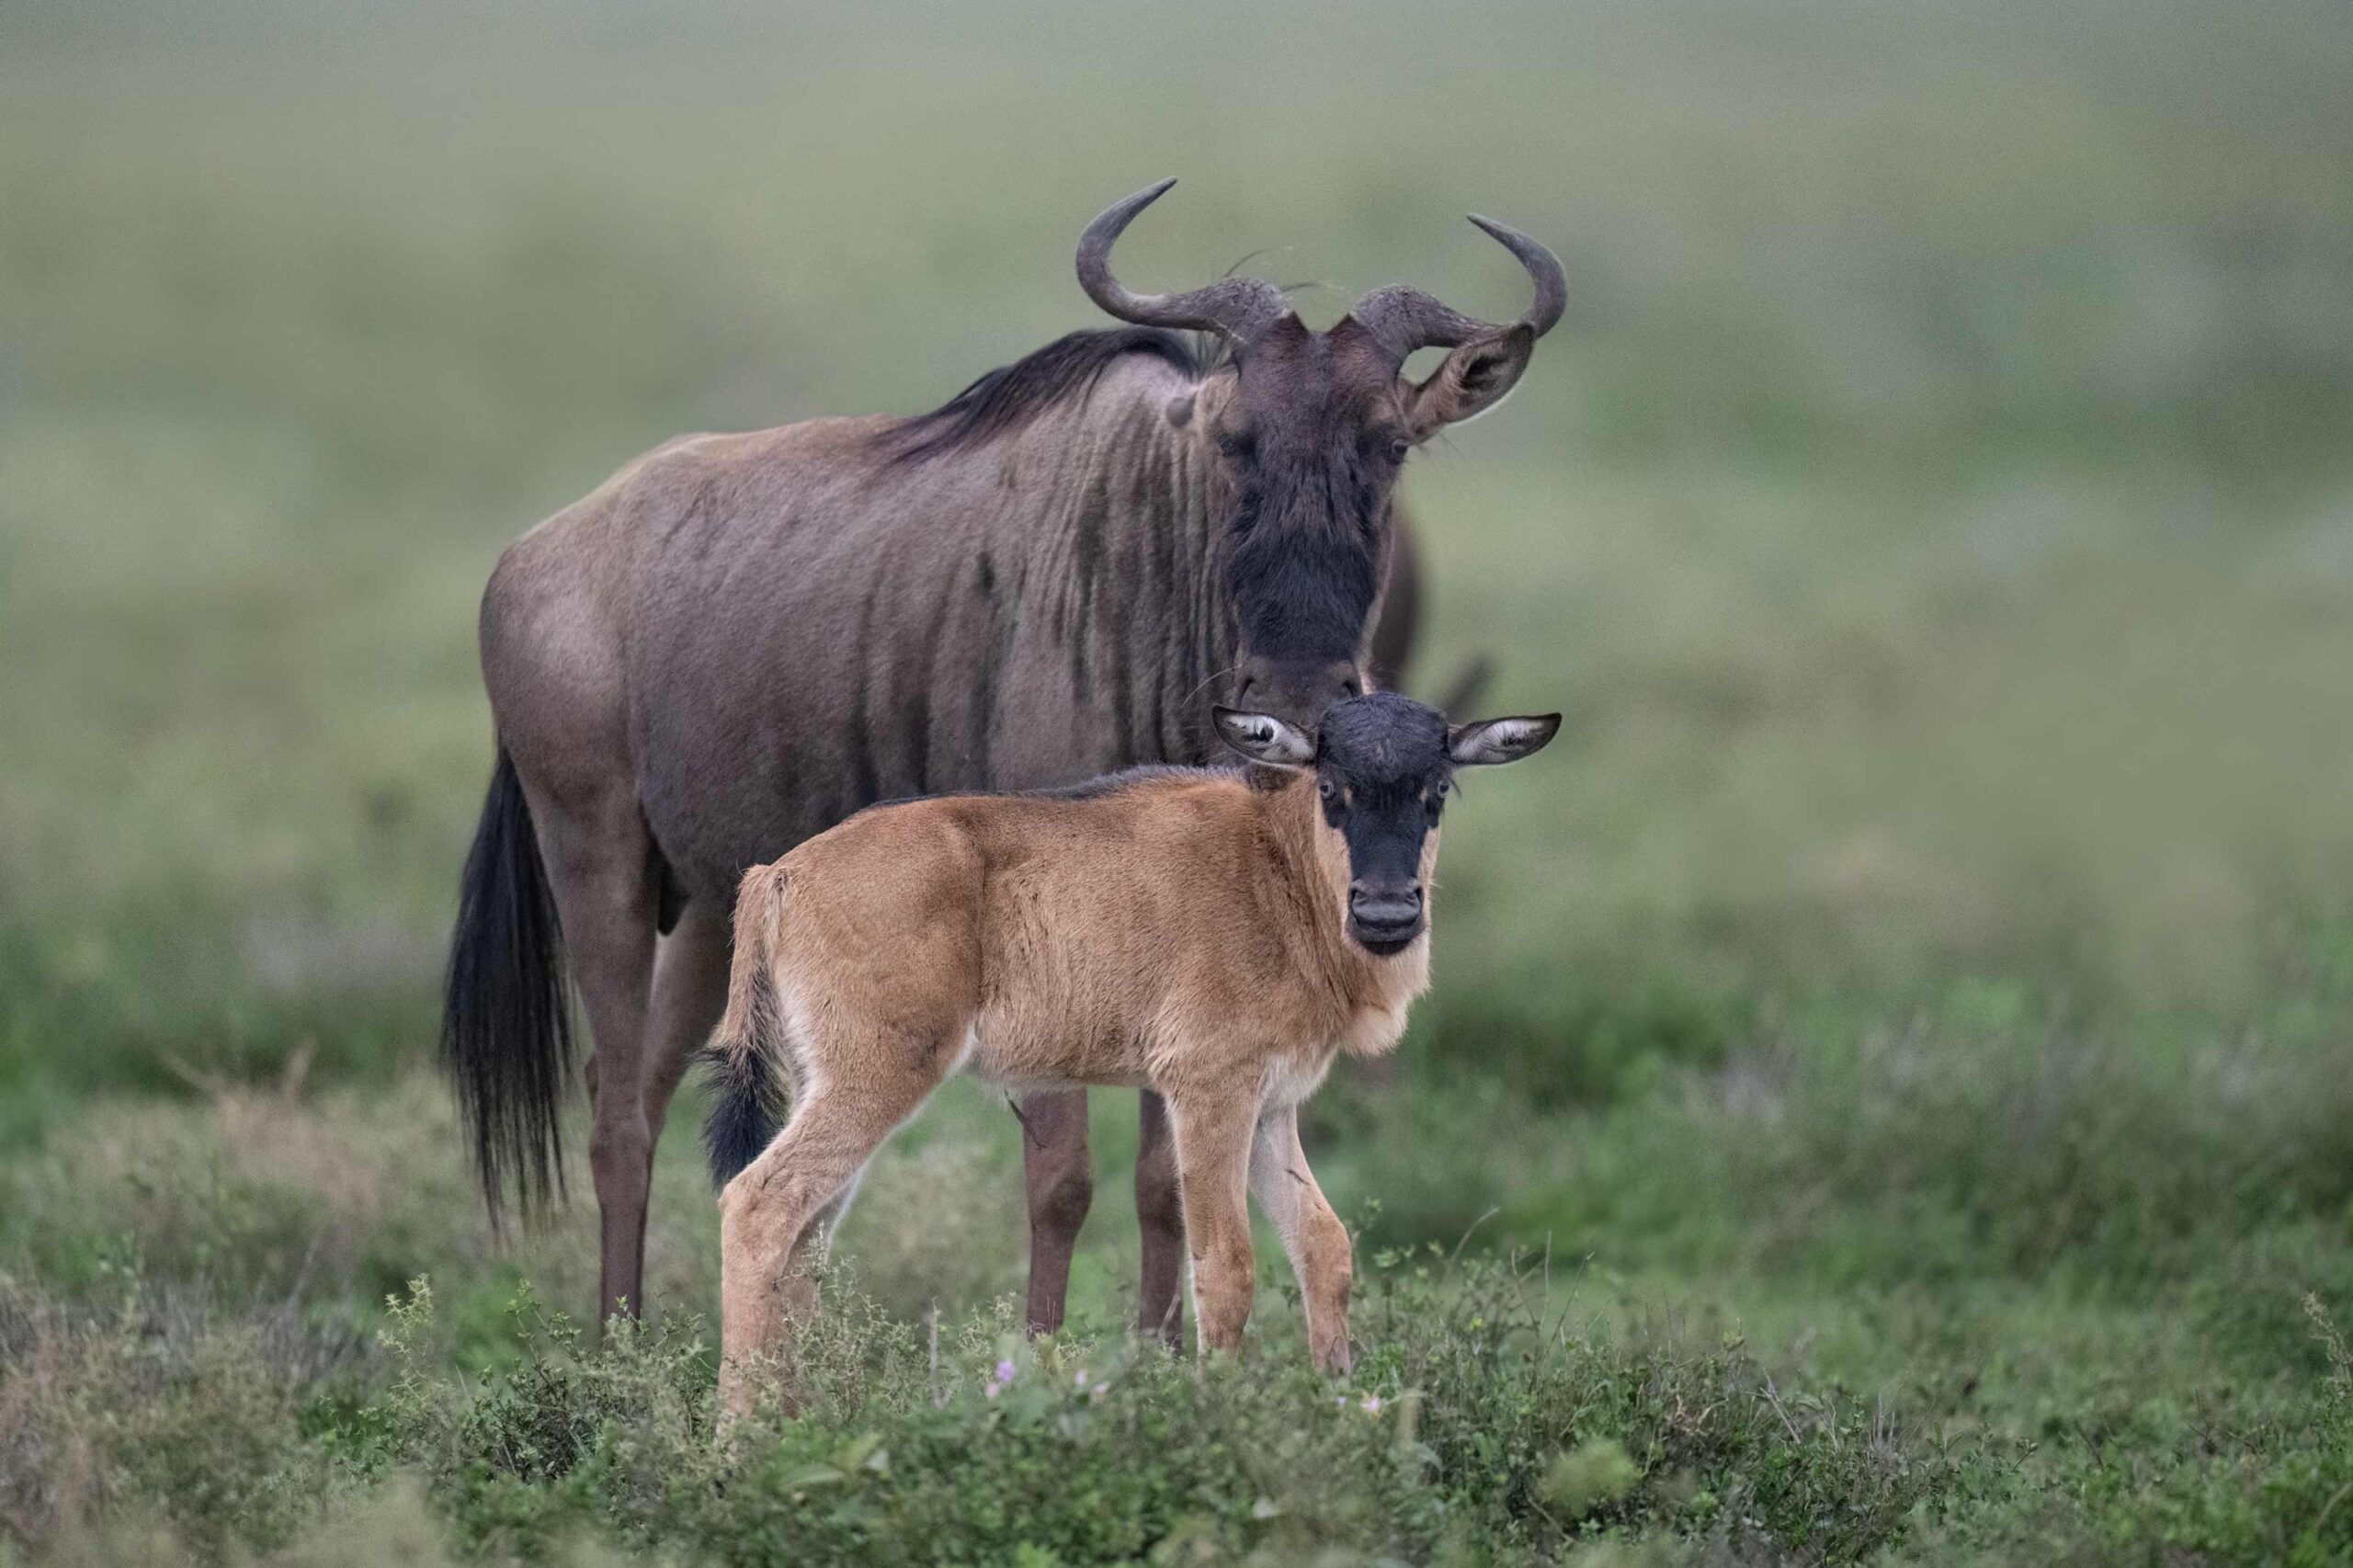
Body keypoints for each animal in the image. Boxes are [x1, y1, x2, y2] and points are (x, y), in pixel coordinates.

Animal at [715, 692, 1562, 1412]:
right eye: (1331, 787)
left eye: (1437, 789)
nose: (1387, 914)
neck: (1279, 870)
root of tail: (777, 875)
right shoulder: (1209, 1091)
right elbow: (1226, 1266)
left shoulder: (1270, 1105)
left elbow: (1326, 1246)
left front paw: (1342, 1409)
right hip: (876, 1081)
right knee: (759, 1204)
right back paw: (737, 1444)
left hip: (832, 1086)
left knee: (806, 1241)